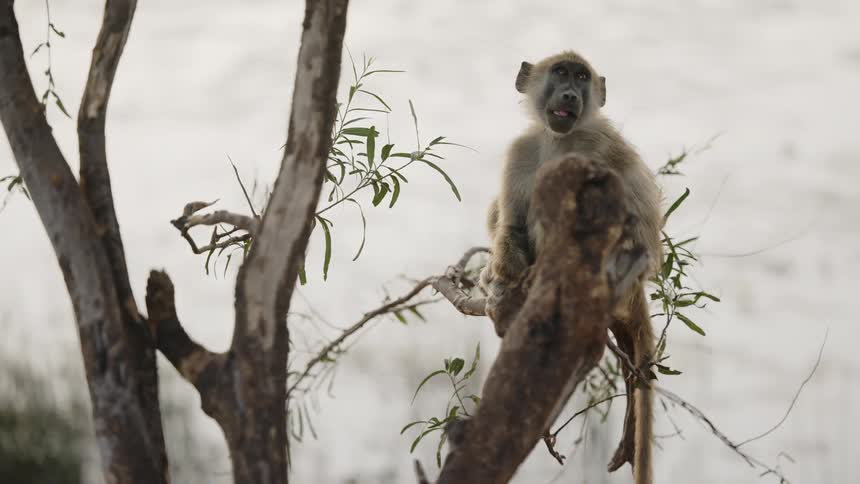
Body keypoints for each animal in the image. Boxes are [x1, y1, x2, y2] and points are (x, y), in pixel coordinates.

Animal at [480, 51, 663, 484]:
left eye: (581, 78)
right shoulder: (522, 150)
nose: (569, 94)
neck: (558, 141)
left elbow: (640, 240)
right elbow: (512, 226)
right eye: (561, 73)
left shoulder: (600, 148)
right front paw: (503, 278)